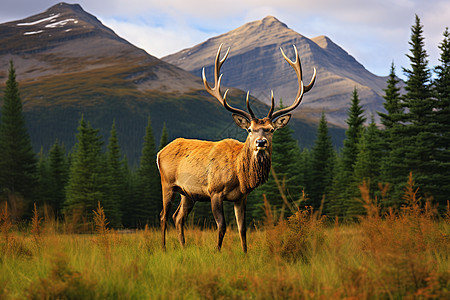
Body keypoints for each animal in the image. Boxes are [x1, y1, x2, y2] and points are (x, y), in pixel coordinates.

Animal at [158, 43, 316, 252]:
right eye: (250, 129)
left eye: (271, 130)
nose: (261, 142)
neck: (239, 174)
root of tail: (160, 152)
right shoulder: (215, 191)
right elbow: (222, 226)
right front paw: (217, 251)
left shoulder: (241, 197)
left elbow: (242, 229)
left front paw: (245, 253)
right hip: (167, 183)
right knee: (163, 216)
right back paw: (163, 248)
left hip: (188, 193)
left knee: (178, 217)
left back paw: (183, 247)